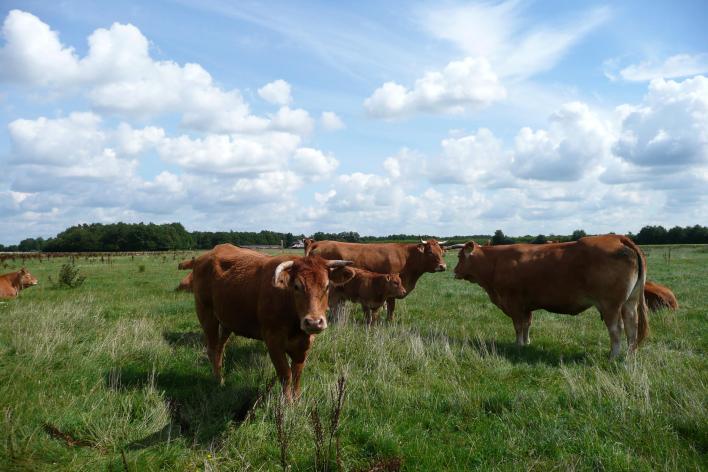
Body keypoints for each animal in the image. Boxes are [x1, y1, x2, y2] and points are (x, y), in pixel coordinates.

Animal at [191, 245, 354, 400]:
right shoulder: (273, 341)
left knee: (220, 349)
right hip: (206, 314)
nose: (314, 322)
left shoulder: (304, 344)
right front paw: (287, 403)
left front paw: (297, 401)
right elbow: (285, 374)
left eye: (327, 286)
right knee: (212, 349)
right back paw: (219, 381)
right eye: (296, 286)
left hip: (227, 322)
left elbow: (297, 374)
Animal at [304, 240, 448, 320]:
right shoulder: (391, 291)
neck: (407, 258)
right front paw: (389, 322)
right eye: (430, 252)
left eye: (441, 252)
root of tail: (320, 242)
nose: (443, 266)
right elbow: (391, 308)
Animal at [454, 236, 648, 358]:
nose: (454, 271)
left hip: (610, 305)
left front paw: (518, 345)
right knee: (632, 327)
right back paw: (630, 355)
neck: (496, 262)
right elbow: (527, 325)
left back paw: (613, 355)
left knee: (617, 329)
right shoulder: (526, 306)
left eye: (459, 256)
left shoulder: (514, 303)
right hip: (629, 303)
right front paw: (527, 342)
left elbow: (518, 326)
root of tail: (617, 238)